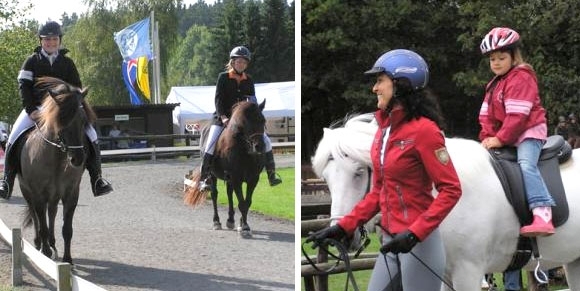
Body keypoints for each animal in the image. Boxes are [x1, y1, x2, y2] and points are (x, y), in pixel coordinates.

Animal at [16, 77, 95, 264]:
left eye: (83, 120)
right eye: (61, 120)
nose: (78, 159)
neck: (58, 157)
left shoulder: (71, 193)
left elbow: (67, 228)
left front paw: (68, 260)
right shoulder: (38, 194)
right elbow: (42, 224)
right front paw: (44, 254)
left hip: (54, 194)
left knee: (52, 212)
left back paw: (52, 245)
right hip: (28, 192)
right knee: (36, 217)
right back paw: (40, 245)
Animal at [184, 100, 268, 237]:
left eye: (263, 120)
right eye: (246, 122)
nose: (259, 146)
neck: (244, 149)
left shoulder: (253, 179)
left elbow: (247, 202)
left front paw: (242, 224)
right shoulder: (236, 178)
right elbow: (242, 203)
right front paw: (245, 227)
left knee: (229, 193)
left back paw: (231, 220)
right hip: (212, 175)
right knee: (214, 195)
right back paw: (216, 222)